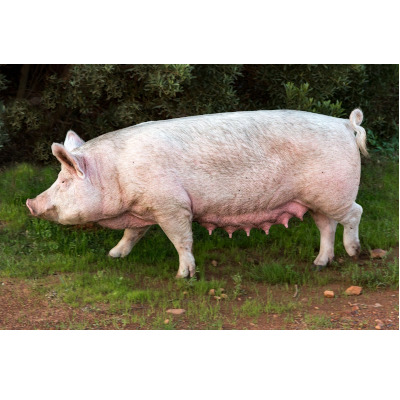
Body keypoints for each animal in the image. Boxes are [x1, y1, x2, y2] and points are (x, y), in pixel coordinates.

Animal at [26, 109, 368, 277]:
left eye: (64, 181)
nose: (30, 203)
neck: (117, 172)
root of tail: (344, 124)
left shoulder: (172, 205)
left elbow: (182, 240)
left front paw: (184, 276)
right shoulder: (144, 209)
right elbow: (132, 234)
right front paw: (113, 255)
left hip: (334, 193)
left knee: (355, 213)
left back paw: (354, 253)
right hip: (318, 199)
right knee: (326, 225)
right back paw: (319, 264)